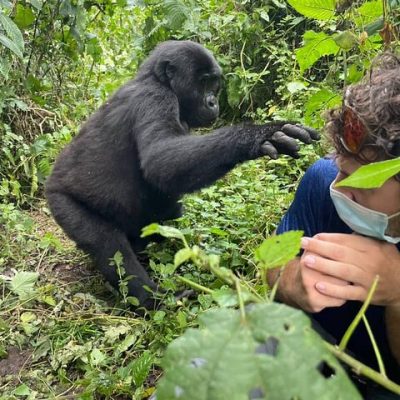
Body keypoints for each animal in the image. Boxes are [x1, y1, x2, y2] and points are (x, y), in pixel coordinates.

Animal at [44, 40, 318, 308]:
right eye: (203, 82)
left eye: (214, 83)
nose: (213, 102)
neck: (155, 79)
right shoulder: (155, 98)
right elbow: (160, 161)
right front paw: (258, 135)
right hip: (64, 205)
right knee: (108, 245)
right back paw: (152, 300)